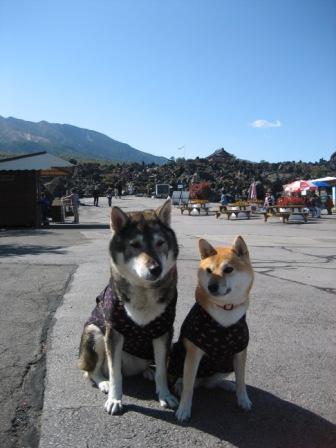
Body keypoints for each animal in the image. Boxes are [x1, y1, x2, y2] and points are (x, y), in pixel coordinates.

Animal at [78, 201, 178, 414]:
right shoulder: (113, 332)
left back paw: (148, 371)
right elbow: (115, 374)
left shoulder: (164, 332)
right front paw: (115, 399)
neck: (143, 292)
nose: (155, 269)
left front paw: (165, 395)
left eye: (160, 243)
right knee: (93, 371)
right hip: (94, 333)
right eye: (135, 245)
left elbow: (163, 371)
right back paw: (103, 382)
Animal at [169, 236, 253, 422]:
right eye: (208, 270)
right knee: (185, 381)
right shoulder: (194, 352)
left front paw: (243, 399)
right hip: (176, 354)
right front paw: (184, 409)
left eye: (228, 269)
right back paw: (178, 386)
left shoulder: (240, 351)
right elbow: (188, 387)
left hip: (225, 365)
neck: (225, 309)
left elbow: (242, 379)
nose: (211, 286)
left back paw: (225, 384)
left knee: (210, 383)